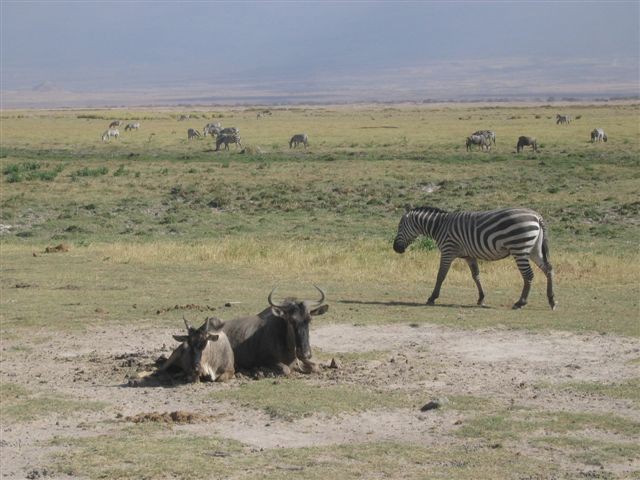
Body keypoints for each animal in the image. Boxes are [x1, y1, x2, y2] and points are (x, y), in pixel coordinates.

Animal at [390, 204, 556, 310]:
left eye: (400, 226)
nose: (395, 248)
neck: (439, 226)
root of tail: (537, 217)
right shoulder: (469, 256)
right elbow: (476, 276)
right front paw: (481, 298)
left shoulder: (448, 251)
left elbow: (441, 275)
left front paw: (432, 298)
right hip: (534, 249)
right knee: (548, 269)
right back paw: (552, 300)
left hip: (519, 248)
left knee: (528, 275)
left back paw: (520, 303)